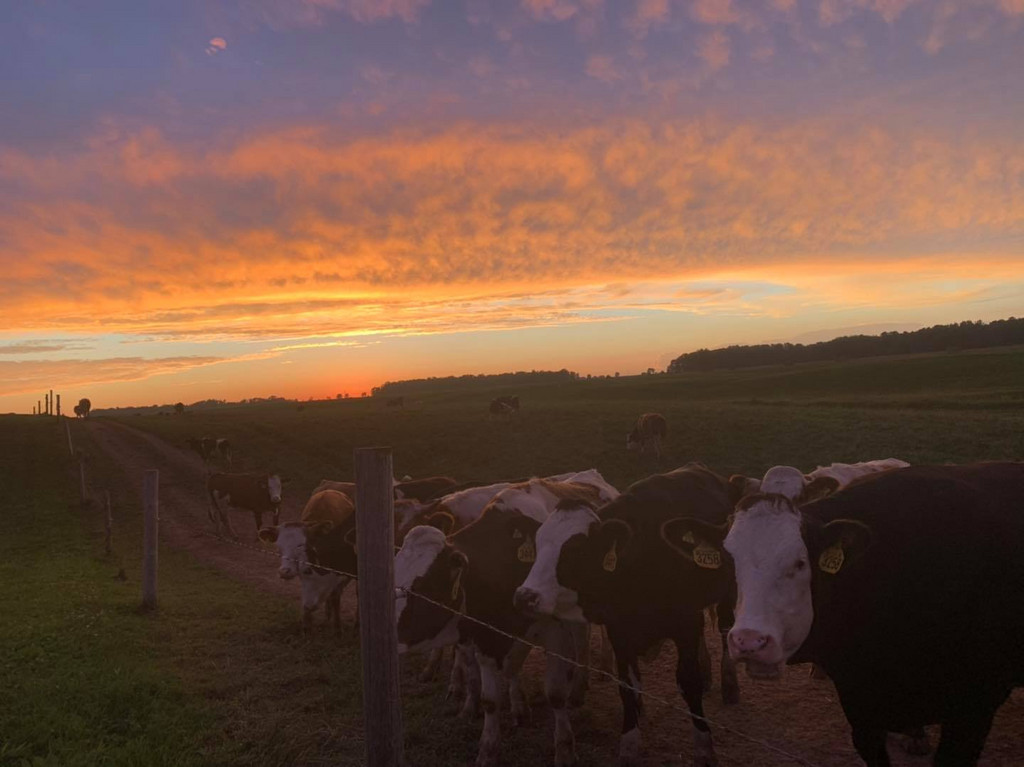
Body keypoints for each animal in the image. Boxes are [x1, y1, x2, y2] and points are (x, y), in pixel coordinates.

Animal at [258, 489, 355, 634]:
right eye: (279, 546)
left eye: (301, 545)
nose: (284, 572)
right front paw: (306, 623)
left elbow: (335, 596)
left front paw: (338, 627)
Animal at [395, 477, 615, 767]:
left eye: (423, 586)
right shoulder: (487, 635)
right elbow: (490, 698)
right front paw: (488, 748)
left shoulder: (553, 631)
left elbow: (555, 694)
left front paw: (565, 748)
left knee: (583, 641)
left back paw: (581, 685)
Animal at [513, 463, 744, 767]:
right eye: (538, 545)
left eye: (574, 549)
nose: (524, 596)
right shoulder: (620, 631)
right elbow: (628, 687)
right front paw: (629, 744)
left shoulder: (685, 624)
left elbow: (688, 682)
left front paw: (704, 747)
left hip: (727, 591)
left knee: (726, 628)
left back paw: (729, 683)